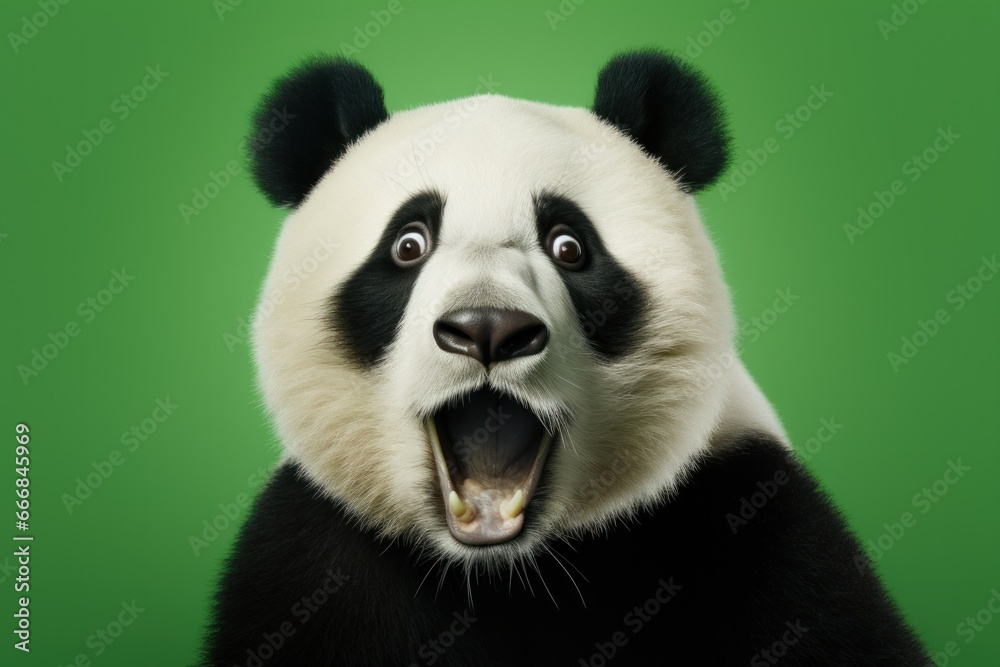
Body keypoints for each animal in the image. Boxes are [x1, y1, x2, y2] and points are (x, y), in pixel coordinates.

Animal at [203, 51, 928, 666]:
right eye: (408, 244)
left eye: (569, 246)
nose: (488, 329)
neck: (507, 575)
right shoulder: (312, 560)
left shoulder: (753, 523)